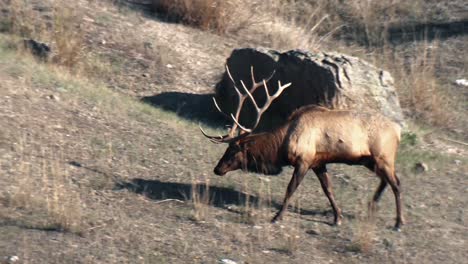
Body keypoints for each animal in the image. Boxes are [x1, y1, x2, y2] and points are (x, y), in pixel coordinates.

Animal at [199, 65, 404, 229]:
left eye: (233, 150)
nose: (217, 169)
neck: (281, 145)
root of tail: (398, 131)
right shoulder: (318, 163)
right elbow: (328, 189)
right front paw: (337, 217)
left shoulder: (303, 160)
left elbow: (290, 189)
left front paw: (277, 217)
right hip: (370, 160)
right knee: (386, 181)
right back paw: (372, 206)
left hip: (383, 157)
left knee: (396, 183)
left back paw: (398, 222)